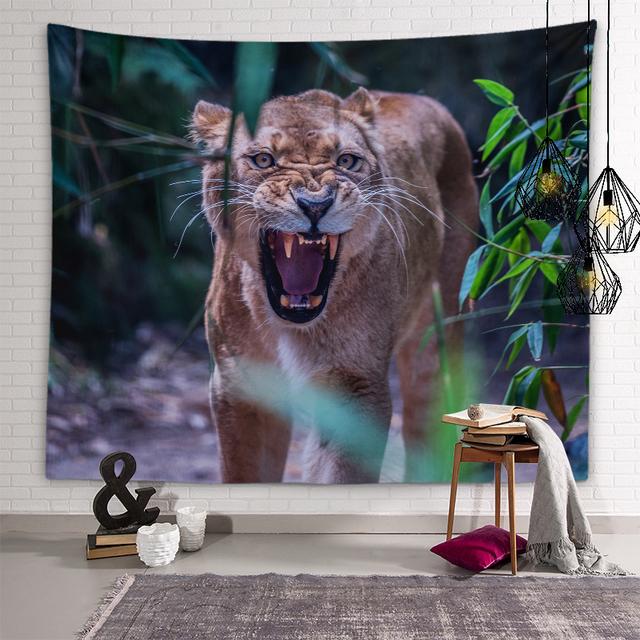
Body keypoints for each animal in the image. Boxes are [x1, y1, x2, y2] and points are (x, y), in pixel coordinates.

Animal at [191, 87, 478, 483]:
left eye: (347, 161)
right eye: (263, 159)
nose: (315, 205)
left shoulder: (354, 387)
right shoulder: (241, 385)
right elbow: (245, 473)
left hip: (436, 338)